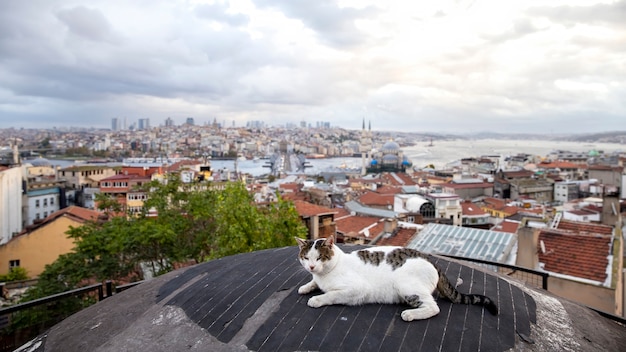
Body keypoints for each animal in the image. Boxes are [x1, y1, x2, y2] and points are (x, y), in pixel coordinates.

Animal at [294, 235, 498, 320]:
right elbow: (313, 282)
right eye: (306, 258)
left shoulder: (356, 290)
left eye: (320, 258)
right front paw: (306, 286)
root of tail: (430, 259)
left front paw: (317, 299)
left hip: (406, 286)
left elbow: (331, 294)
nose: (311, 267)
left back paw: (410, 314)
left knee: (434, 307)